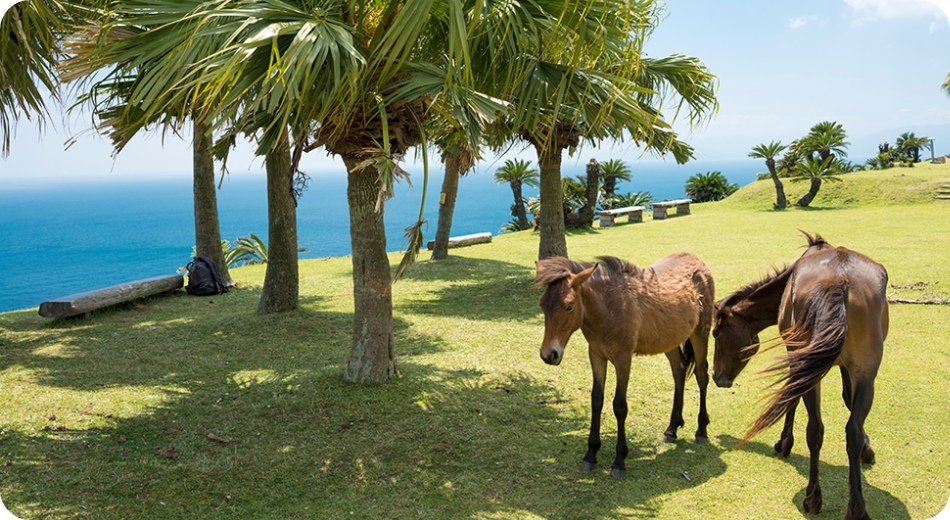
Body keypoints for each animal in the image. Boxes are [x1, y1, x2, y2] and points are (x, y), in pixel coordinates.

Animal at [536, 254, 712, 478]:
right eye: (542, 305)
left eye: (569, 306)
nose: (548, 354)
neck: (609, 308)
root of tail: (698, 261)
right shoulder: (596, 355)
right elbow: (597, 400)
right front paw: (591, 454)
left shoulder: (623, 359)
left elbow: (619, 406)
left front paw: (619, 460)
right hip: (670, 341)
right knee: (679, 372)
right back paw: (672, 428)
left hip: (700, 334)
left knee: (702, 375)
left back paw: (702, 430)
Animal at [712, 234, 892, 516]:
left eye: (716, 333)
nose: (716, 376)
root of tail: (839, 280)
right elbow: (847, 401)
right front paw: (867, 448)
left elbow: (794, 398)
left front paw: (784, 443)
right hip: (863, 374)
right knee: (841, 429)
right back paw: (851, 506)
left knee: (818, 428)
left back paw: (814, 498)